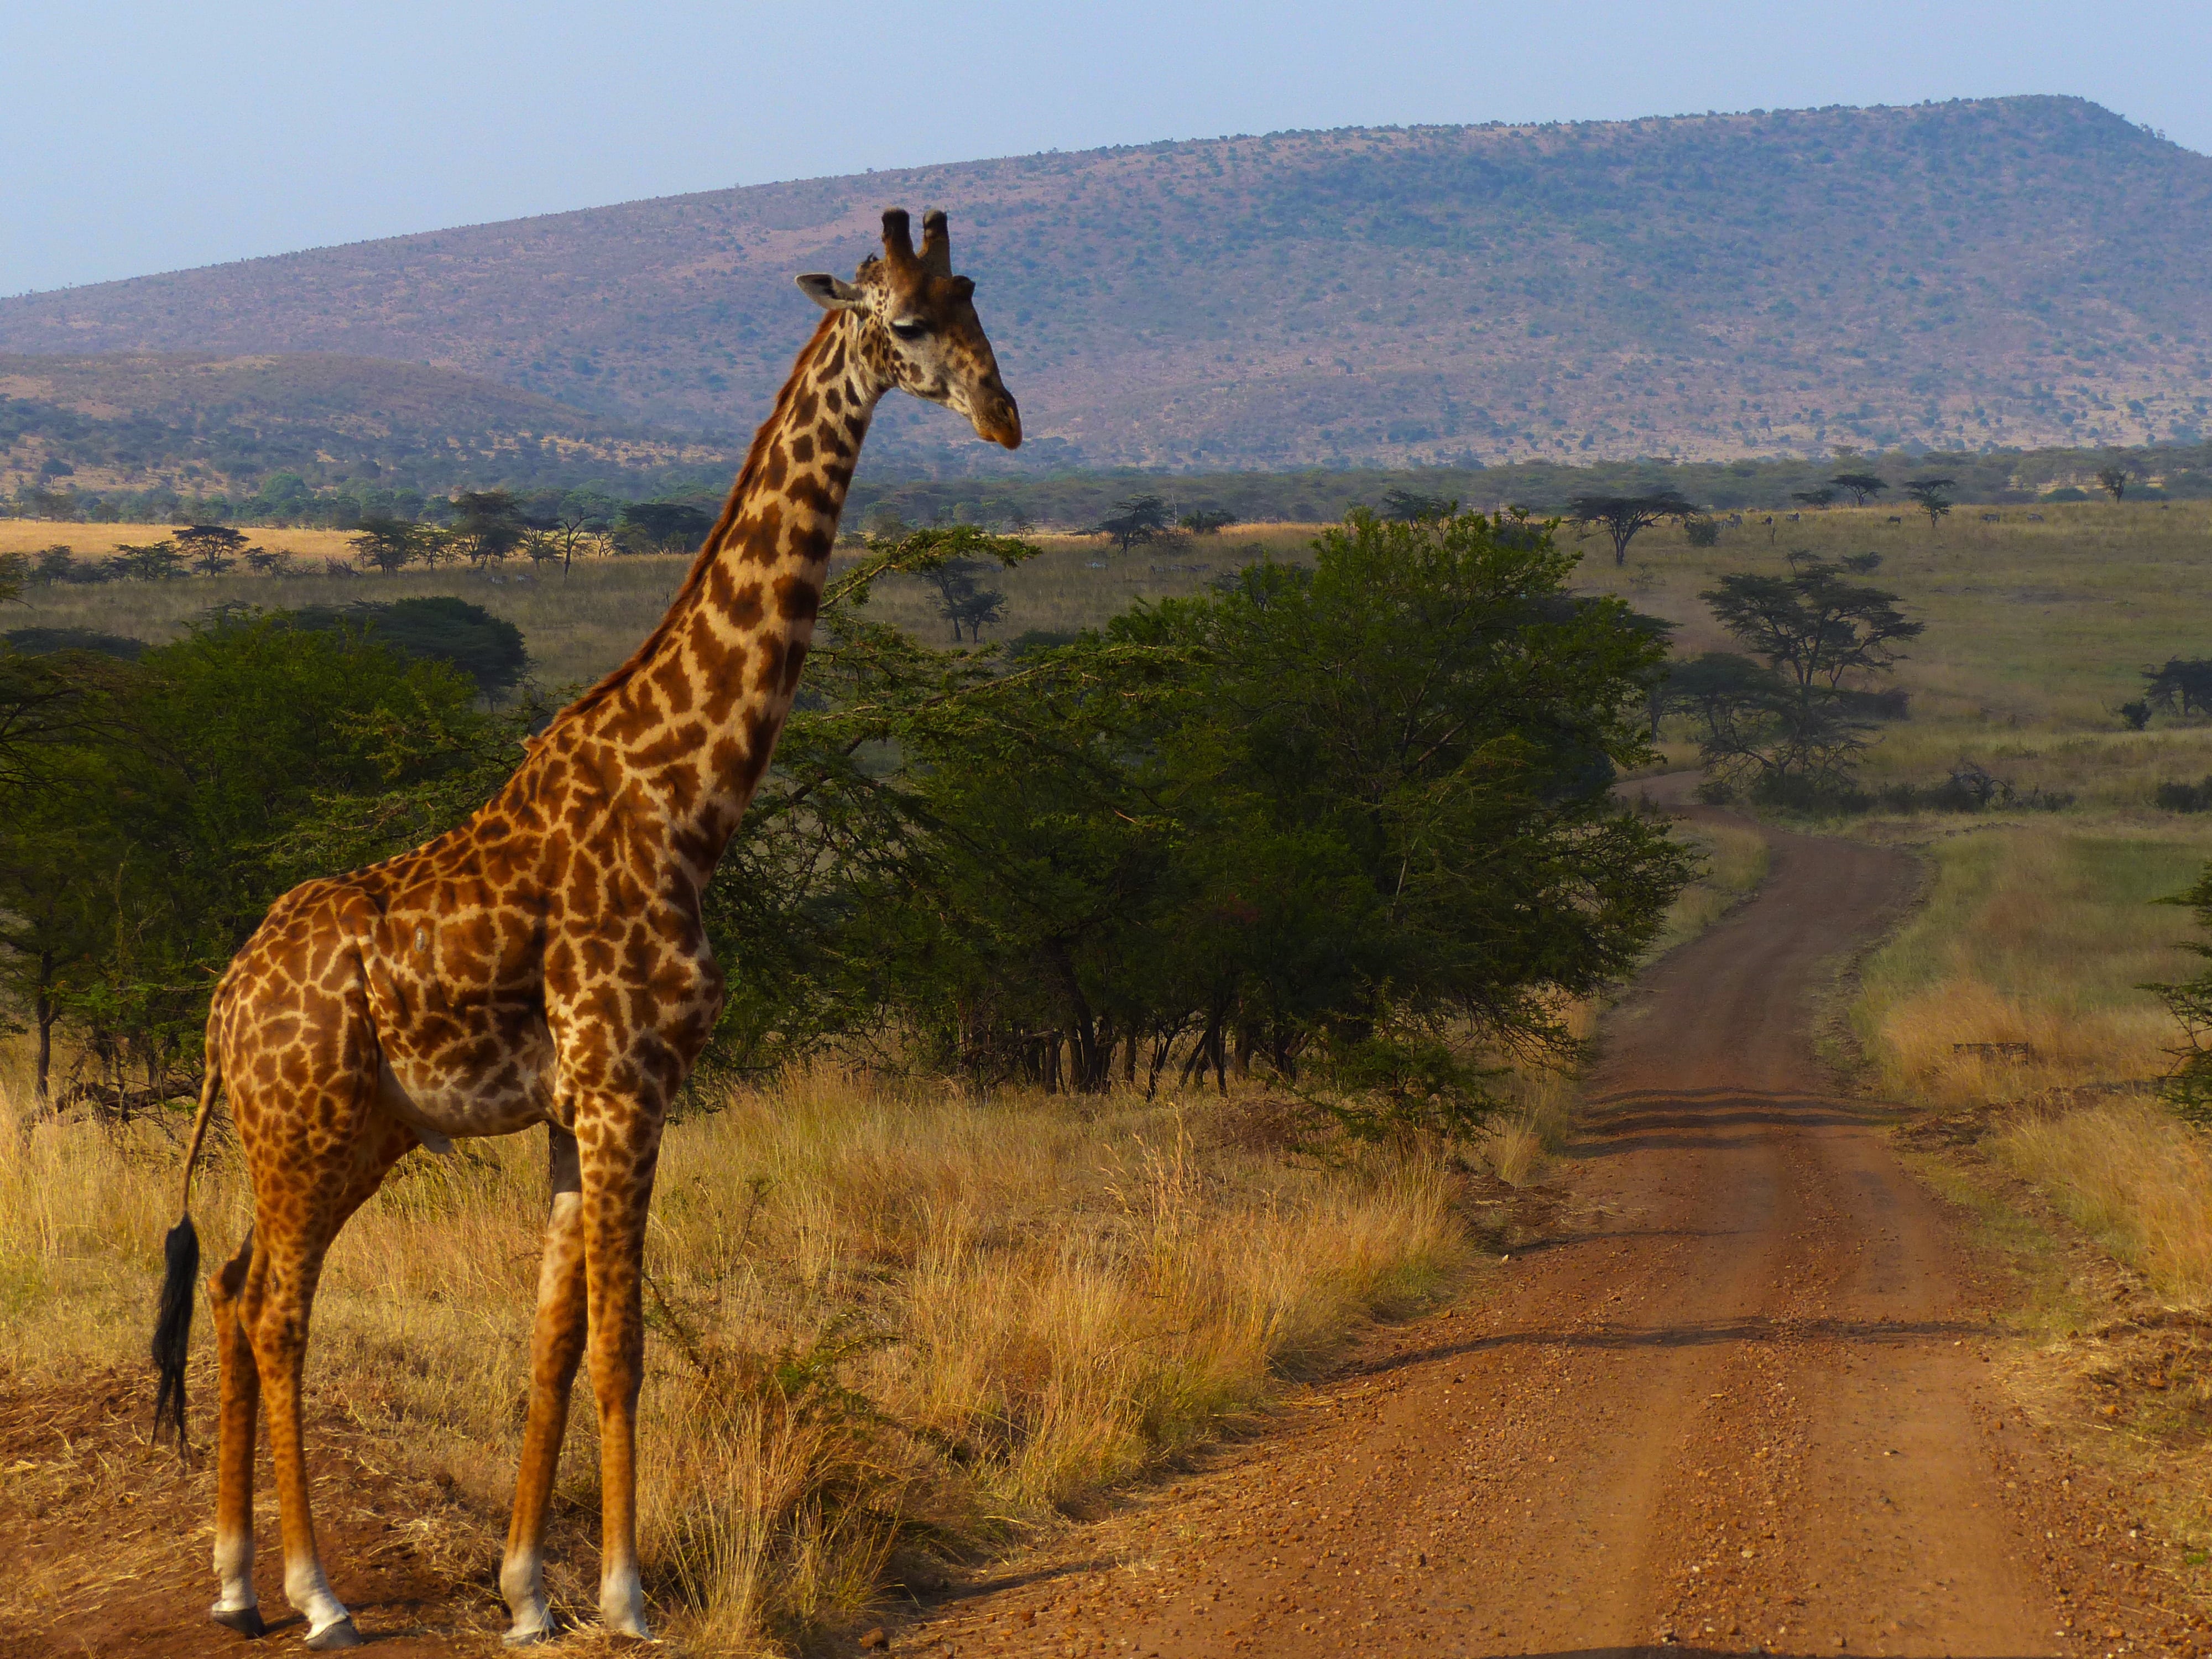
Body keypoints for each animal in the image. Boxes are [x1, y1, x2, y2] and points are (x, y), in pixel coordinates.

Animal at [152, 208, 1022, 1655]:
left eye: (978, 305)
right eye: (905, 323)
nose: (1005, 416)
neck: (685, 795)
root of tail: (223, 1002)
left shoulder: (580, 1106)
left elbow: (551, 1341)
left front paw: (526, 1593)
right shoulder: (629, 1085)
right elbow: (621, 1340)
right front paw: (625, 1594)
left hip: (347, 1131)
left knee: (226, 1288)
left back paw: (231, 1581)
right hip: (311, 1125)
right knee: (274, 1309)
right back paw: (319, 1594)